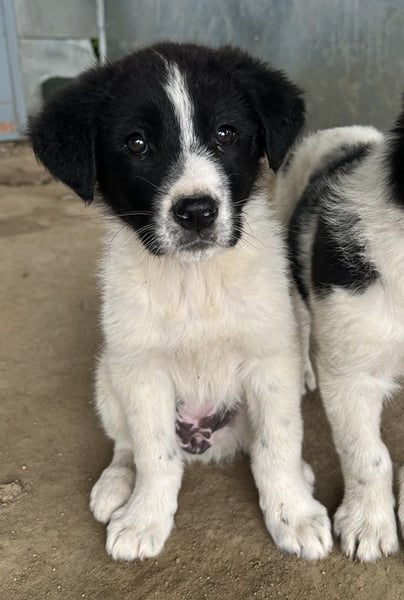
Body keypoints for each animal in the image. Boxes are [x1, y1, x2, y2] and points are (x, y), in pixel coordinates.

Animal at [30, 42, 332, 561]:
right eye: (136, 143)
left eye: (226, 134)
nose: (196, 213)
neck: (195, 281)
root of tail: (206, 438)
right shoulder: (142, 369)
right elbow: (155, 453)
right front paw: (144, 518)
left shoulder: (271, 360)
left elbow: (277, 444)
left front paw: (292, 512)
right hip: (108, 375)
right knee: (127, 444)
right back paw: (117, 485)